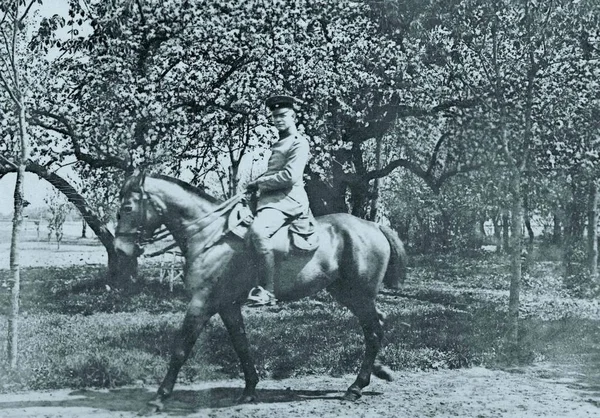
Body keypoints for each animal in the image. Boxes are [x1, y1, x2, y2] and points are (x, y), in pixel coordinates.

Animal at [112, 170, 406, 412]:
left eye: (127, 207)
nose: (120, 251)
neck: (210, 235)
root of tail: (373, 225)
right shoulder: (227, 305)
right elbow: (241, 344)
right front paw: (250, 390)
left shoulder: (202, 302)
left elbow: (181, 349)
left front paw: (158, 398)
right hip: (346, 293)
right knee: (376, 325)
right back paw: (377, 372)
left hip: (360, 294)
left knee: (373, 330)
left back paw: (356, 387)